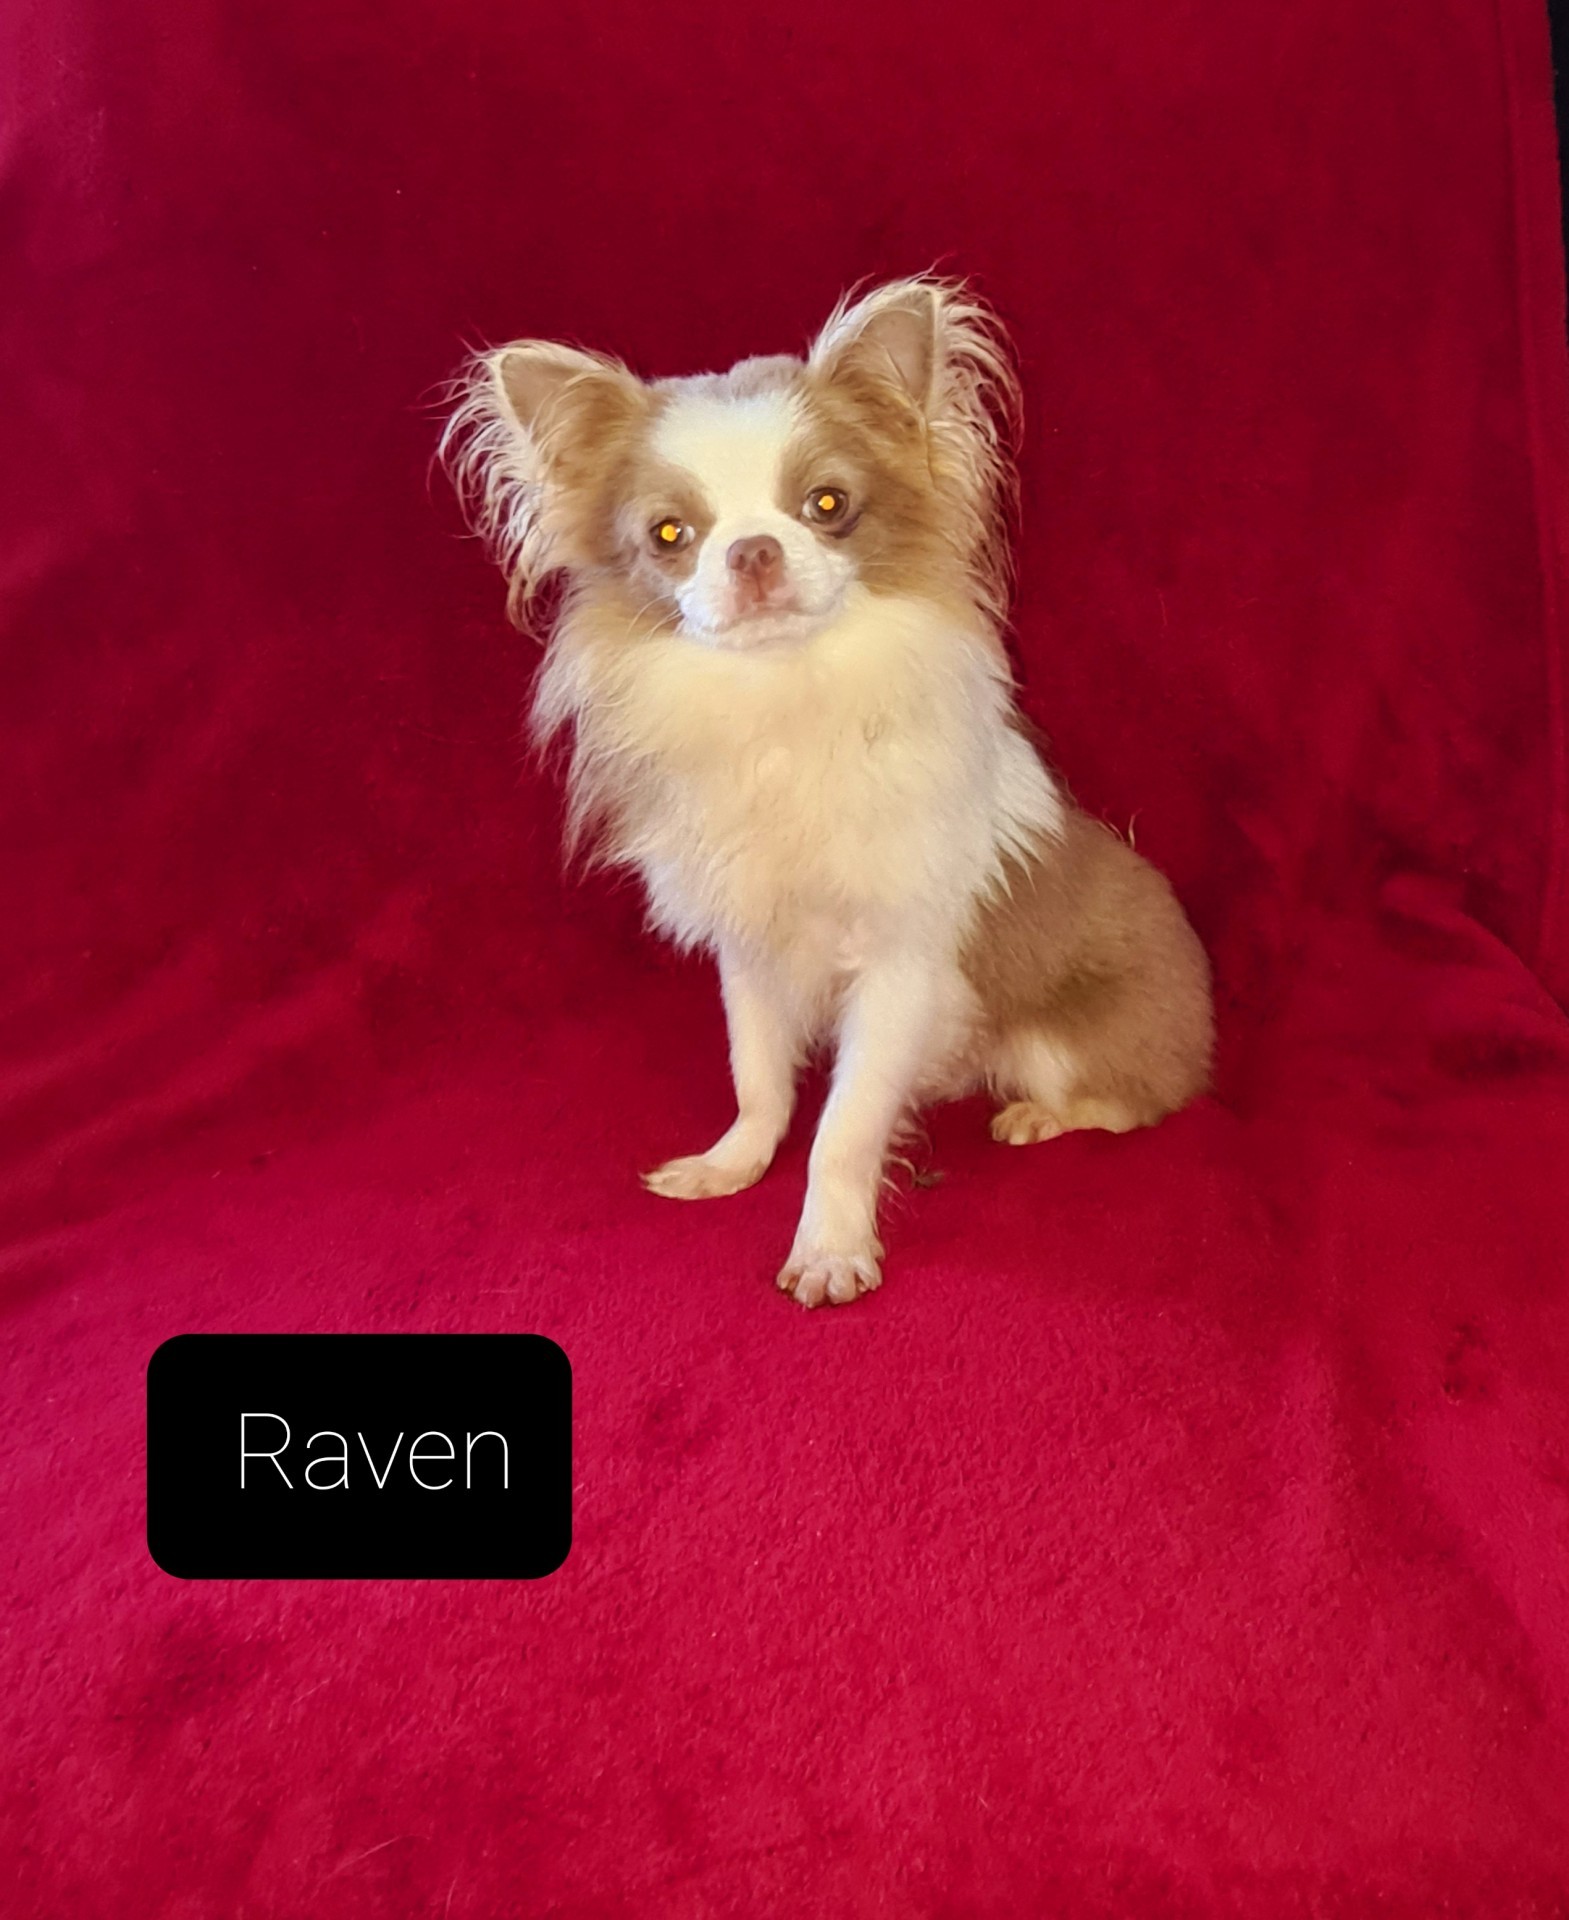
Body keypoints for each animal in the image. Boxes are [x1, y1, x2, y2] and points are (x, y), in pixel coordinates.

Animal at [442, 277, 1213, 1306]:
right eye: (670, 535)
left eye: (827, 504)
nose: (754, 551)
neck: (785, 699)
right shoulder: (748, 954)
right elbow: (759, 1078)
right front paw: (731, 1164)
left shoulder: (897, 967)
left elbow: (842, 1131)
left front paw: (829, 1249)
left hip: (1065, 1045)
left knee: (1136, 1101)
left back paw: (1042, 1116)